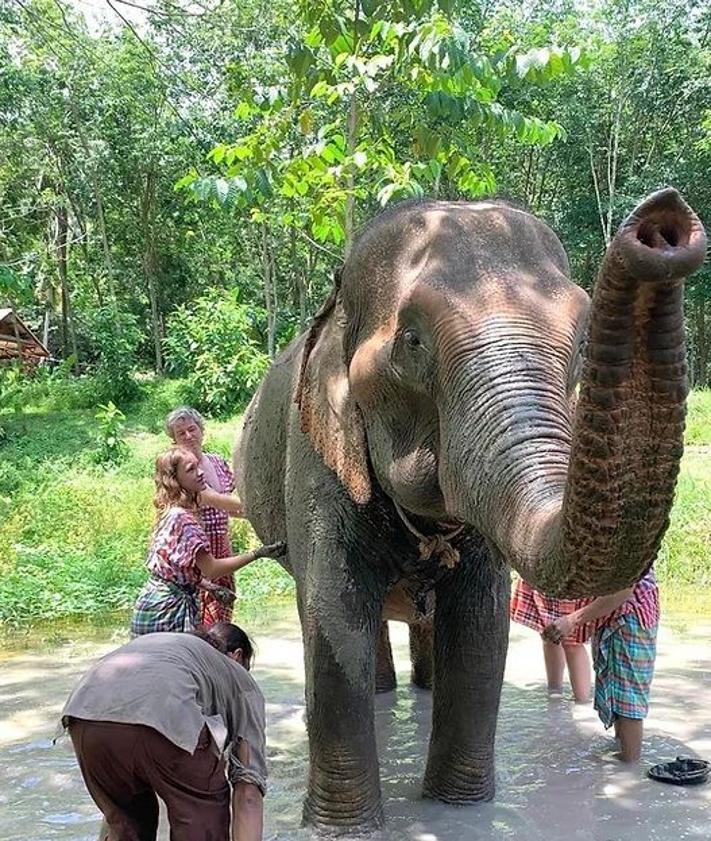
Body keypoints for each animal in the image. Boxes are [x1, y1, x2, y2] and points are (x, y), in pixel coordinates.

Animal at [236, 189, 708, 828]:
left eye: (582, 339)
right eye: (413, 341)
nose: (664, 227)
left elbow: (482, 625)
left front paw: (459, 809)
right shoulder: (313, 455)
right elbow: (335, 622)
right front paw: (343, 830)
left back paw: (420, 691)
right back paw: (383, 694)